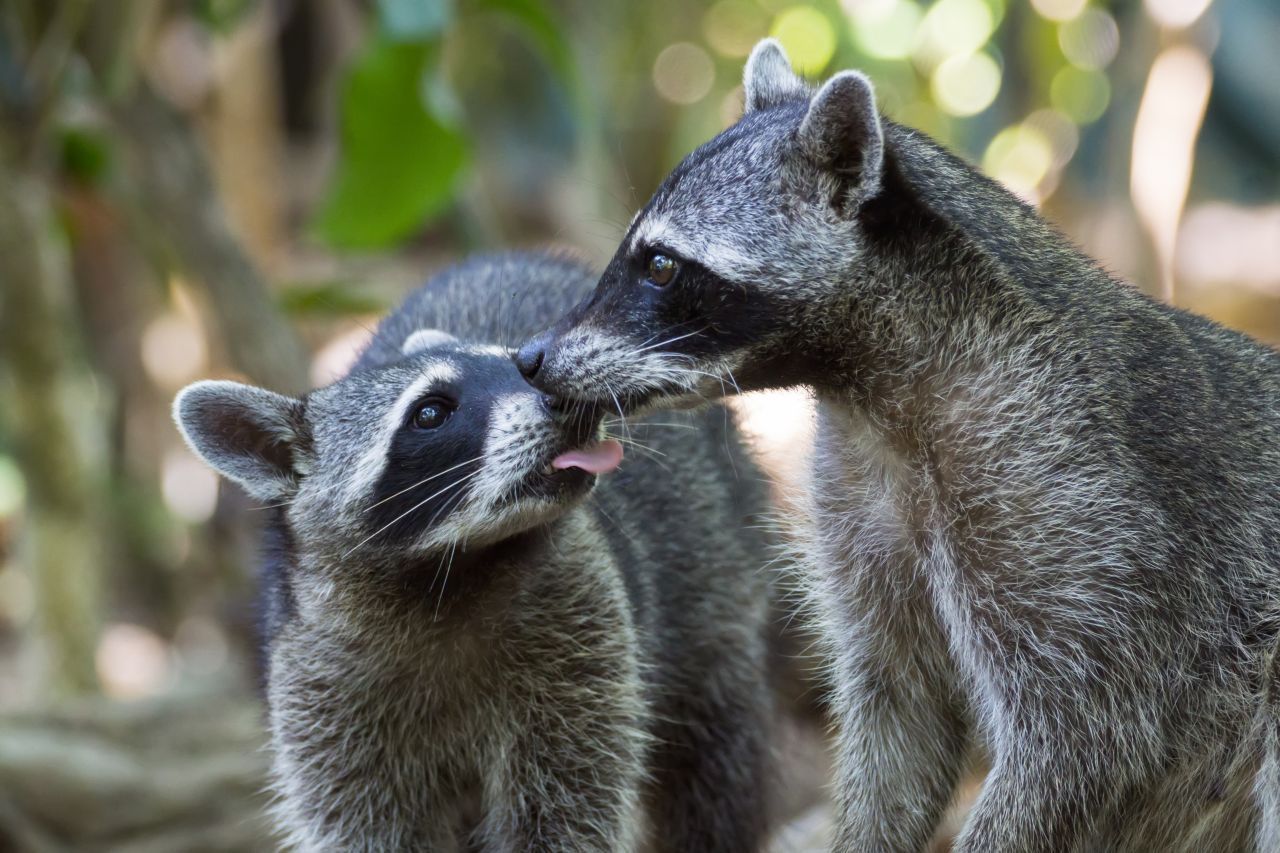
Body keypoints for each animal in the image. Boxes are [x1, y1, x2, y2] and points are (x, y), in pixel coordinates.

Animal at [175, 252, 773, 850]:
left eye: (517, 363)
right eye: (431, 413)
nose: (570, 398)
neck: (447, 574)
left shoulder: (582, 638)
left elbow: (568, 809)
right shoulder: (320, 692)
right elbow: (367, 826)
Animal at [514, 43, 1280, 850]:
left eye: (661, 265)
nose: (530, 358)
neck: (876, 400)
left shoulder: (1082, 513)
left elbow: (1084, 741)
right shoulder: (863, 512)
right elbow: (897, 721)